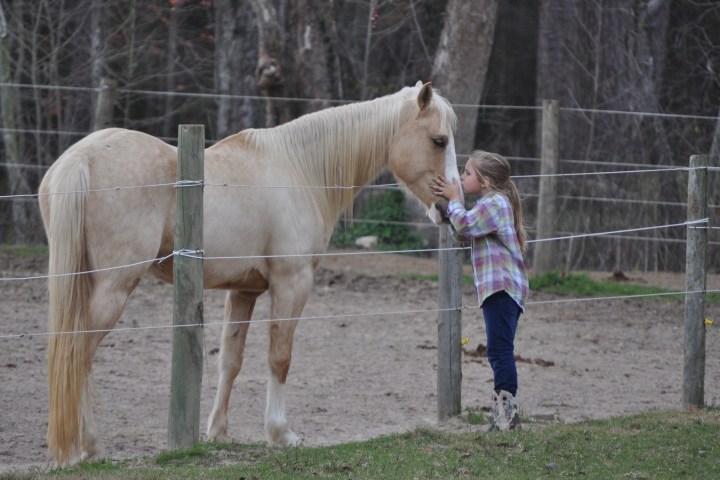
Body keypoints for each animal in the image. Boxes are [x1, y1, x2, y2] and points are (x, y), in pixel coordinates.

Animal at [38, 81, 460, 466]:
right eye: (439, 141)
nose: (448, 208)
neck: (298, 169)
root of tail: (80, 159)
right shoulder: (292, 284)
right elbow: (280, 358)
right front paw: (280, 433)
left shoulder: (243, 292)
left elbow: (231, 360)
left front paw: (218, 433)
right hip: (114, 287)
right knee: (77, 355)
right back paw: (86, 449)